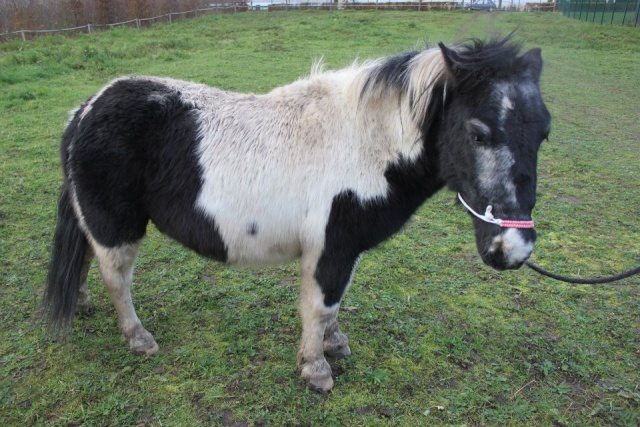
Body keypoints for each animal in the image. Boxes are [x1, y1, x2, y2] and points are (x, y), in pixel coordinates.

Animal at [45, 36, 552, 394]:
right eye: (478, 133)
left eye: (544, 133)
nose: (513, 249)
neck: (365, 147)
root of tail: (85, 110)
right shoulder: (330, 247)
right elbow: (320, 305)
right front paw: (316, 369)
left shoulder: (342, 250)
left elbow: (335, 304)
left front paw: (334, 344)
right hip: (117, 227)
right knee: (116, 278)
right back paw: (138, 337)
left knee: (87, 259)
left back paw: (84, 303)